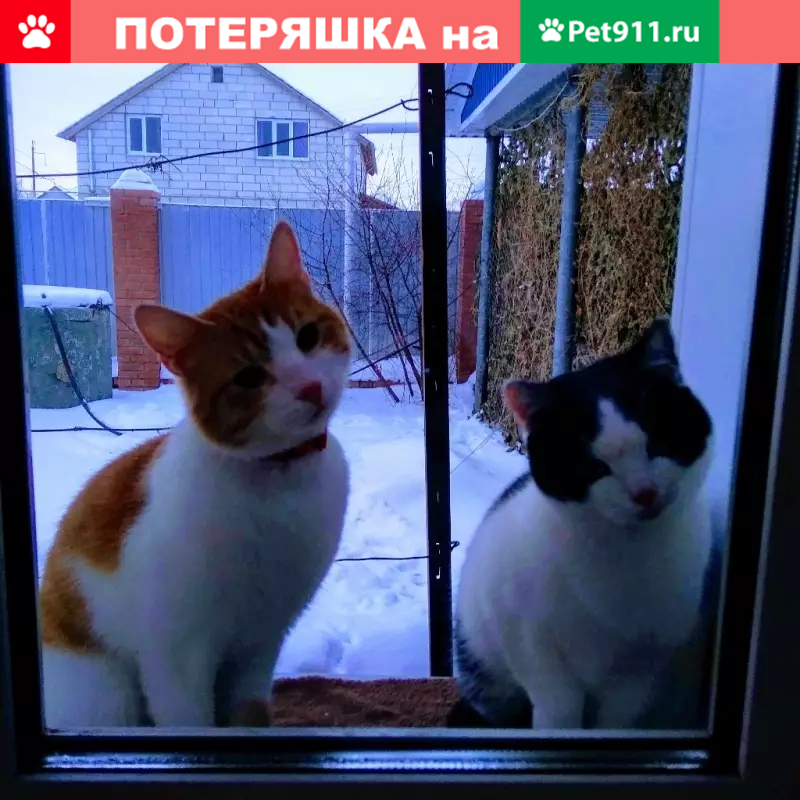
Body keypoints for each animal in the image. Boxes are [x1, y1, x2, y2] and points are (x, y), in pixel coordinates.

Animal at [38, 220, 351, 729]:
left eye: (307, 336)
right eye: (248, 378)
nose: (309, 387)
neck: (279, 478)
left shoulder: (260, 645)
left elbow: (249, 714)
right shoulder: (176, 656)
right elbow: (191, 717)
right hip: (106, 694)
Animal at [451, 317, 714, 730]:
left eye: (658, 445)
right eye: (593, 467)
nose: (645, 493)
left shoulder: (644, 665)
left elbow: (617, 717)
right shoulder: (524, 633)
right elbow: (558, 703)